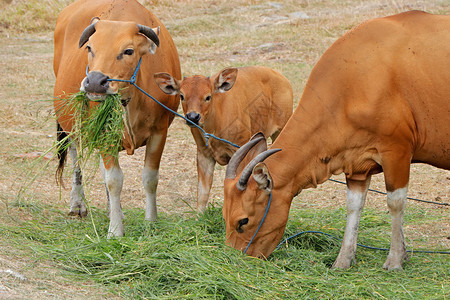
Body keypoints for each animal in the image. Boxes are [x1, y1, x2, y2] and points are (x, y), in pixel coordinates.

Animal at [52, 0, 179, 239]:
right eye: (90, 48)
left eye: (128, 51)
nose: (94, 82)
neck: (130, 100)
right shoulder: (104, 133)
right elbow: (114, 180)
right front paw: (115, 231)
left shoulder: (160, 132)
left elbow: (150, 178)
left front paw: (150, 221)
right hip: (71, 123)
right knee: (76, 157)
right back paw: (78, 204)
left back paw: (114, 210)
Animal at [156, 65, 294, 211]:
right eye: (182, 96)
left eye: (208, 96)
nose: (193, 117)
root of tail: (282, 78)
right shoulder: (203, 153)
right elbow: (203, 191)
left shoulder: (240, 149)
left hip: (281, 129)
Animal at [222, 10, 450, 270]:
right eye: (224, 217)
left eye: (242, 221)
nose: (236, 258)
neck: (354, 81)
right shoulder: (357, 164)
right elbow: (354, 207)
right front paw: (343, 261)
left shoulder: (397, 151)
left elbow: (396, 203)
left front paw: (394, 260)